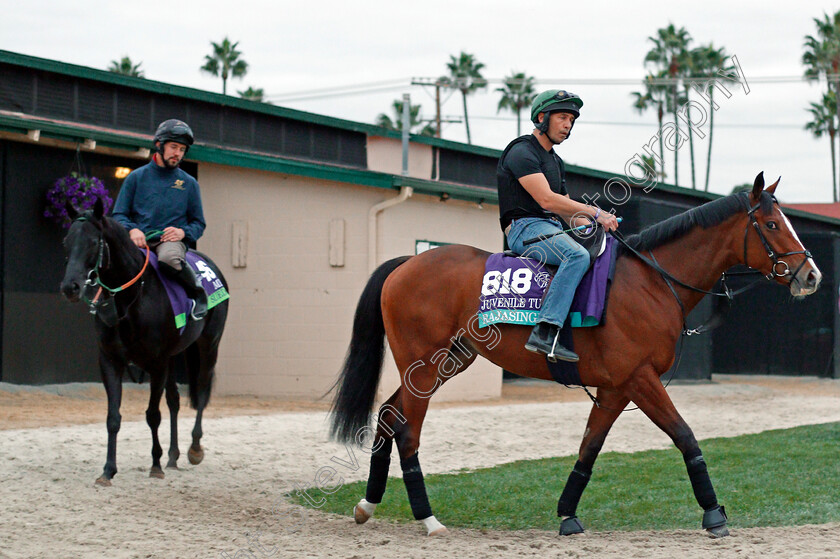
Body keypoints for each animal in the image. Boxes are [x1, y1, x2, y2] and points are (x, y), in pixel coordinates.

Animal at [58, 200, 230, 486]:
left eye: (93, 242)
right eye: (66, 242)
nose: (70, 287)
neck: (132, 298)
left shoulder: (156, 362)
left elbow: (152, 415)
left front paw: (155, 465)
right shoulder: (110, 360)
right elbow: (113, 417)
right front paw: (108, 470)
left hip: (209, 345)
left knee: (202, 392)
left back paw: (194, 449)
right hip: (175, 356)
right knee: (174, 400)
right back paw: (173, 456)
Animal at [328, 174, 820, 540]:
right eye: (772, 225)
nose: (810, 275)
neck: (652, 281)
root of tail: (406, 263)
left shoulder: (616, 387)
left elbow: (589, 448)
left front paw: (568, 513)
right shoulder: (640, 379)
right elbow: (685, 436)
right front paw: (714, 513)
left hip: (445, 362)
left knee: (389, 415)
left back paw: (368, 504)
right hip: (427, 363)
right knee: (408, 431)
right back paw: (427, 518)